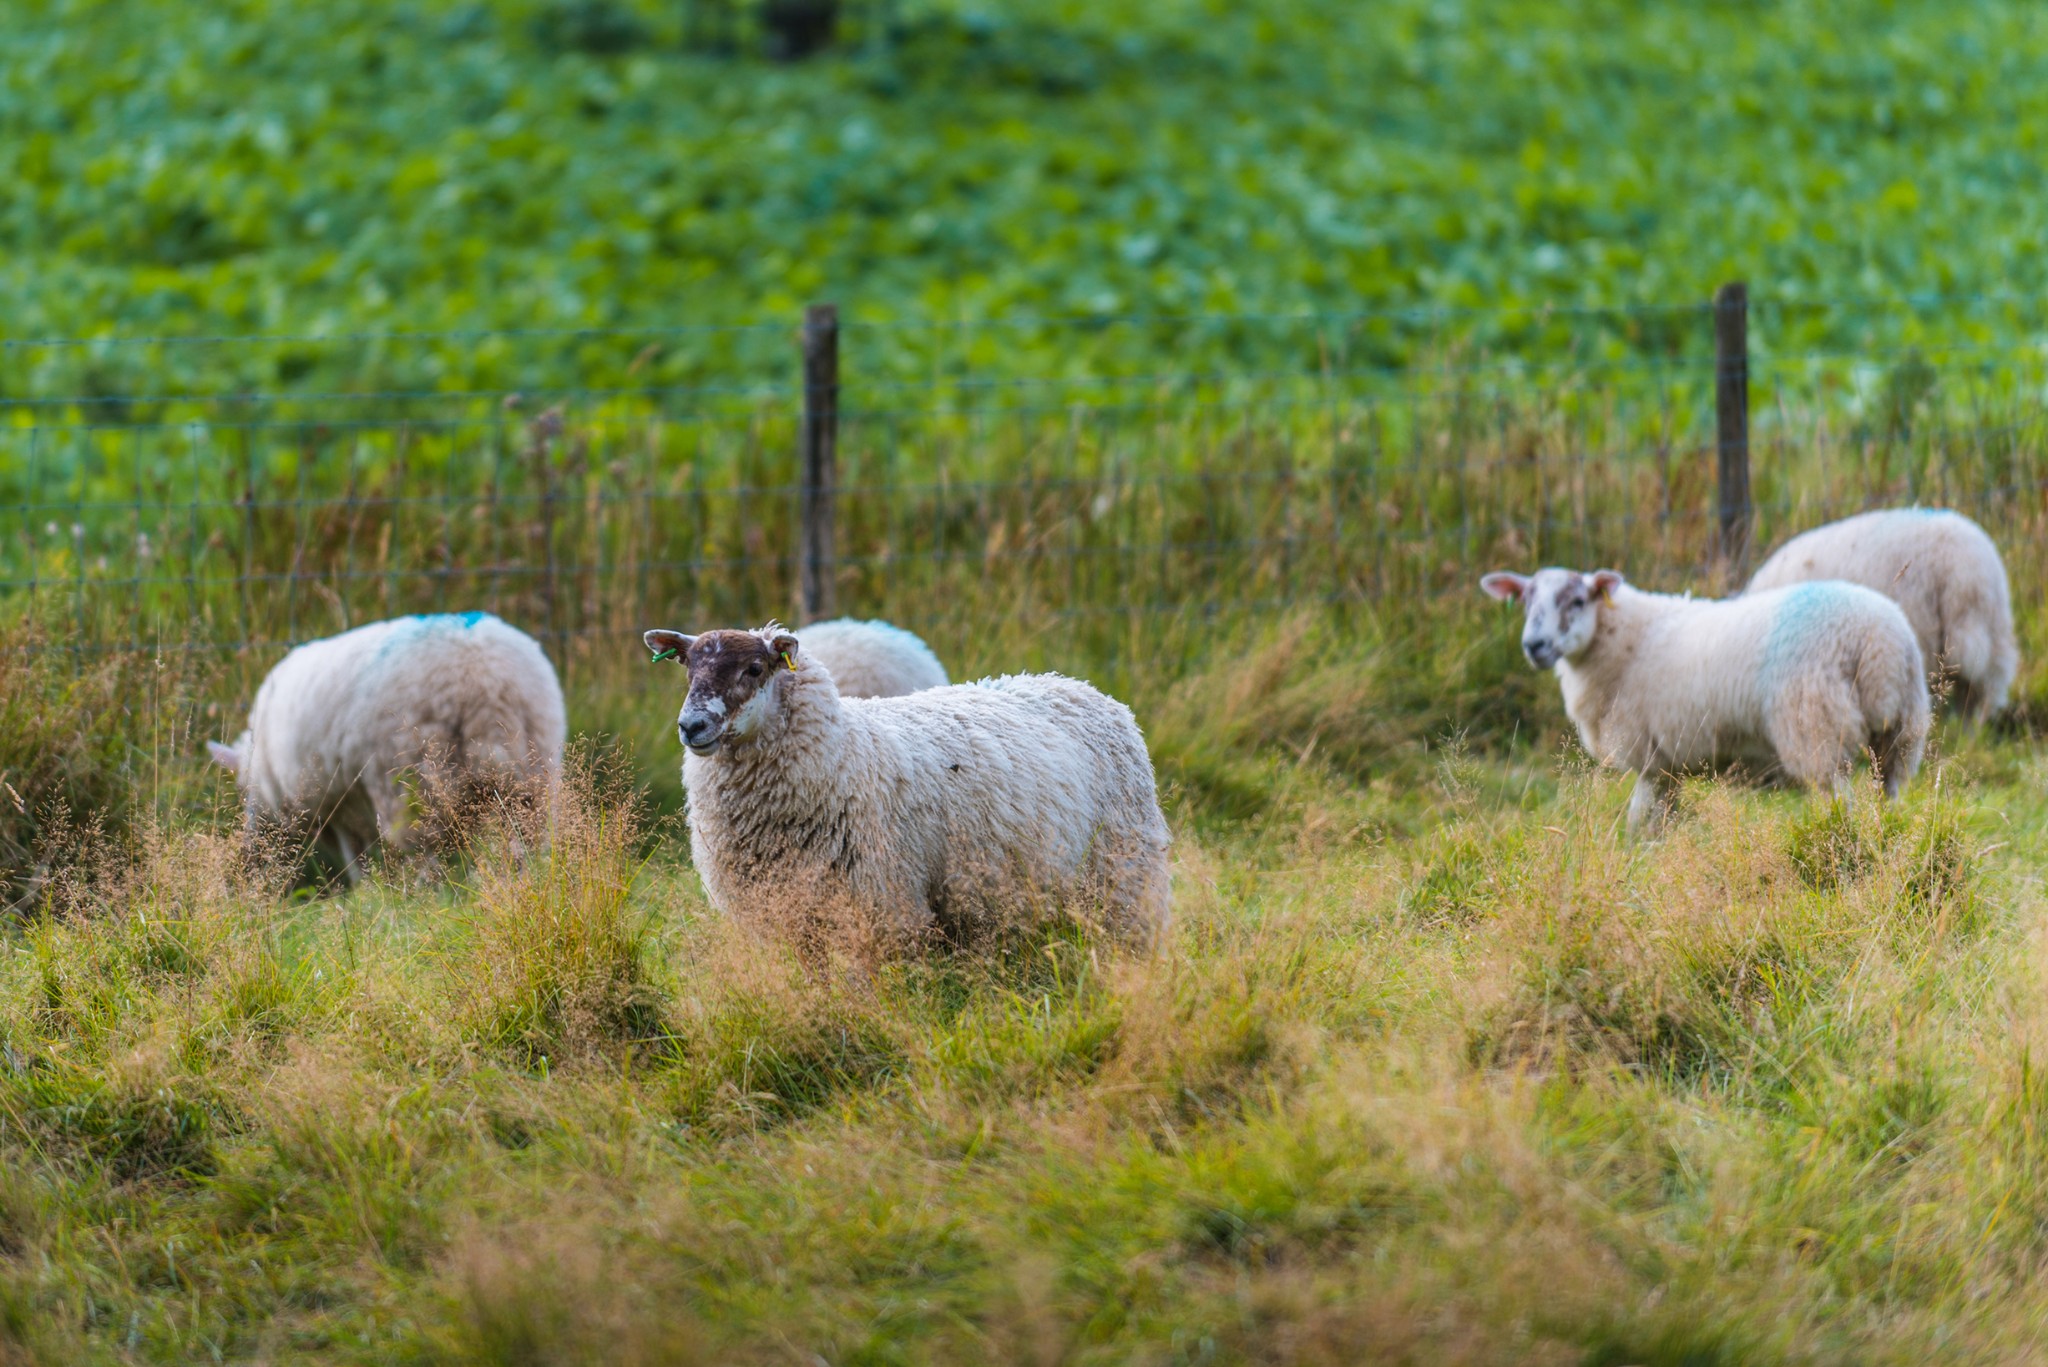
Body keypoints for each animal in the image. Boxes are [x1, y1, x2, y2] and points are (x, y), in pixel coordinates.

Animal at [208, 614, 569, 881]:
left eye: (241, 792)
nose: (249, 857)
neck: (260, 763)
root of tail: (485, 679)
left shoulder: (338, 801)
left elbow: (355, 854)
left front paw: (365, 893)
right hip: (533, 773)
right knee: (522, 844)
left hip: (410, 776)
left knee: (424, 852)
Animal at [1482, 565, 1925, 836]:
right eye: (1525, 602)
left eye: (1576, 601)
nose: (1534, 646)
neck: (1620, 639)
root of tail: (1881, 641)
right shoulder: (1669, 764)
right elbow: (1658, 820)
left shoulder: (1651, 759)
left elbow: (1639, 819)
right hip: (1899, 736)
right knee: (1888, 796)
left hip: (1817, 728)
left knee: (1842, 800)